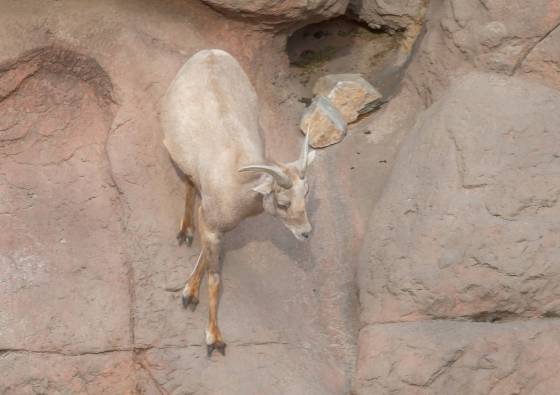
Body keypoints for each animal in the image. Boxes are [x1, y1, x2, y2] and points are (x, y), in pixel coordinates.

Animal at [160, 48, 316, 356]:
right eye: (282, 202)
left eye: (305, 194)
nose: (306, 233)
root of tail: (209, 53)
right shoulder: (210, 221)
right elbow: (216, 278)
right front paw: (213, 338)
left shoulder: (214, 225)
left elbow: (206, 257)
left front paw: (189, 291)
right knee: (187, 182)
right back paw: (184, 232)